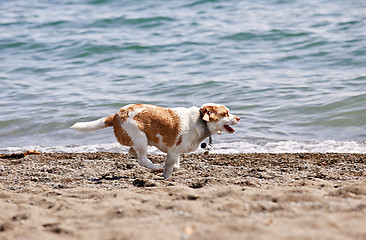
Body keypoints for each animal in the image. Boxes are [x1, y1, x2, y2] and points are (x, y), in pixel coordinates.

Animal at [71, 102, 240, 178]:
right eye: (226, 113)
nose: (238, 118)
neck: (200, 122)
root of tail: (116, 115)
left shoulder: (176, 152)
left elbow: (176, 165)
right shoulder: (173, 152)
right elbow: (169, 167)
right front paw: (166, 176)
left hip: (137, 141)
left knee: (132, 153)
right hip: (141, 139)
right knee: (141, 159)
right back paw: (155, 166)